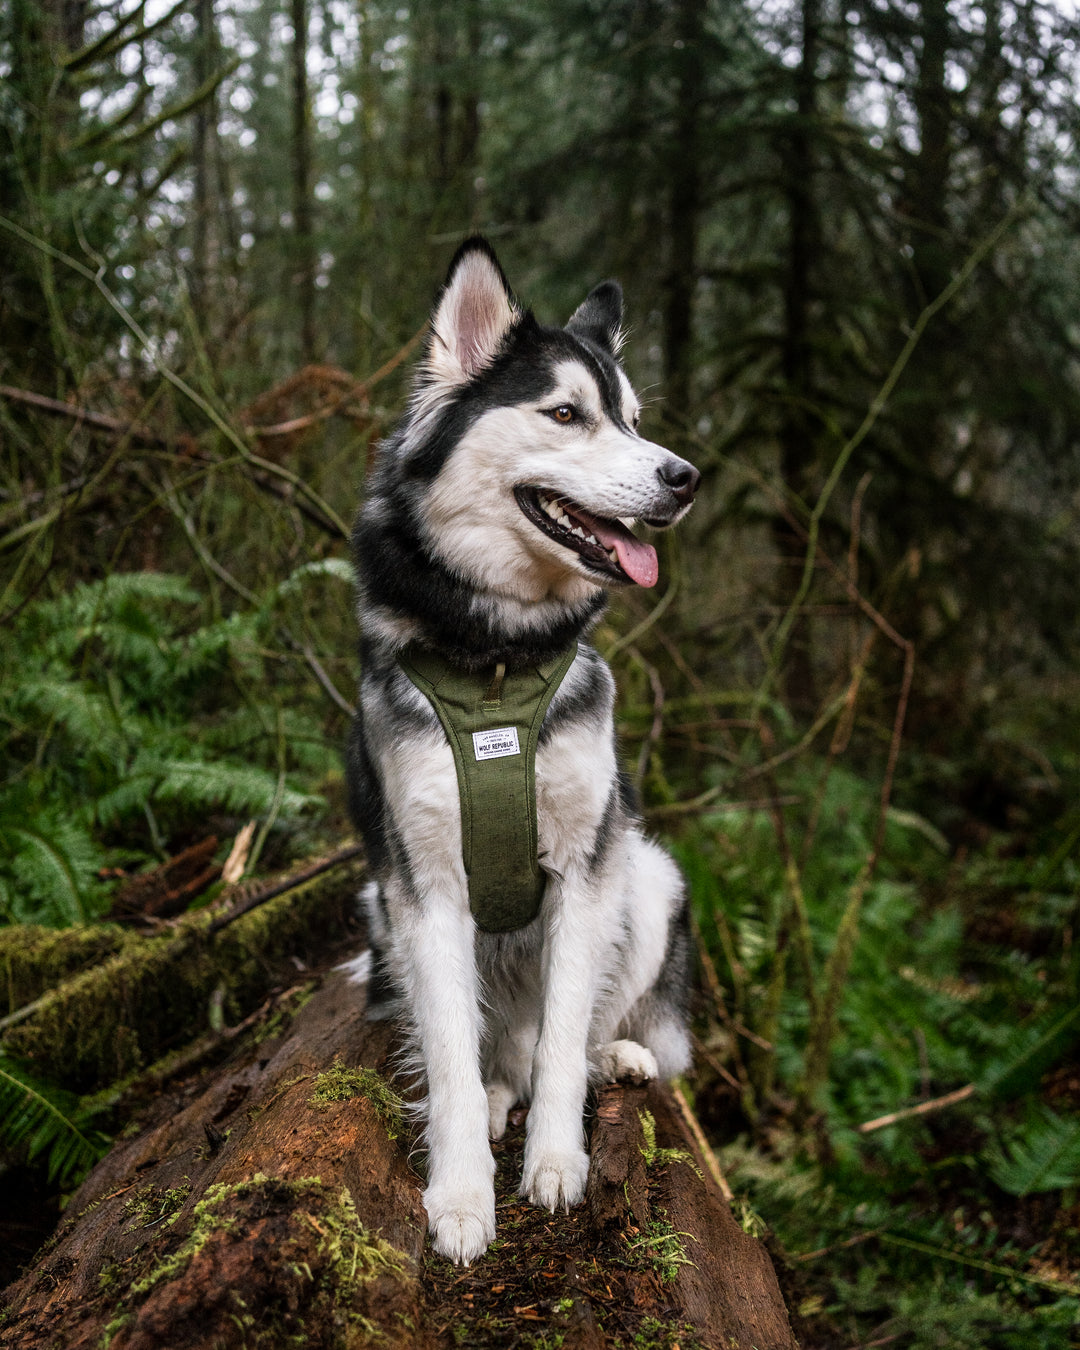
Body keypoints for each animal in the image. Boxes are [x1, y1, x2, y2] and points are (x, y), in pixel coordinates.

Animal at [345, 240, 702, 1263]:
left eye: (632, 420)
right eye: (566, 414)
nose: (685, 476)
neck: (498, 661)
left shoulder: (587, 865)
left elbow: (564, 1029)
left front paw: (556, 1163)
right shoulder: (423, 886)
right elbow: (452, 1063)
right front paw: (463, 1196)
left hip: (650, 877)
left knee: (580, 1036)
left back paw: (613, 1057)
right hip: (379, 913)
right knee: (490, 1052)